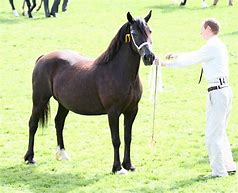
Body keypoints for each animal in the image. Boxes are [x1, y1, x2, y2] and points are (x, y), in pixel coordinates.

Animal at [23, 10, 154, 174]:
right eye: (134, 33)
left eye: (150, 31)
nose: (149, 57)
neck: (119, 72)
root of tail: (43, 57)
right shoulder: (113, 112)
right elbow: (116, 140)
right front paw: (117, 168)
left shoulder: (132, 110)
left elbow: (127, 138)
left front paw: (129, 165)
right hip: (39, 100)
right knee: (33, 124)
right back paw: (30, 157)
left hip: (63, 104)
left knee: (59, 122)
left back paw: (62, 153)